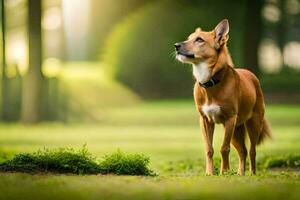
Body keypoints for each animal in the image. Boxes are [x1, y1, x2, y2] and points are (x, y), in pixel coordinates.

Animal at [175, 19, 270, 175]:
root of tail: (252, 75)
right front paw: (210, 173)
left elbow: (224, 148)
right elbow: (209, 149)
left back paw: (252, 174)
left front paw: (224, 172)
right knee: (242, 151)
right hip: (236, 130)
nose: (176, 46)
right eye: (189, 38)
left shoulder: (230, 119)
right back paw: (240, 174)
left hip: (253, 123)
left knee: (252, 151)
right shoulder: (205, 120)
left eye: (199, 40)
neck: (210, 82)